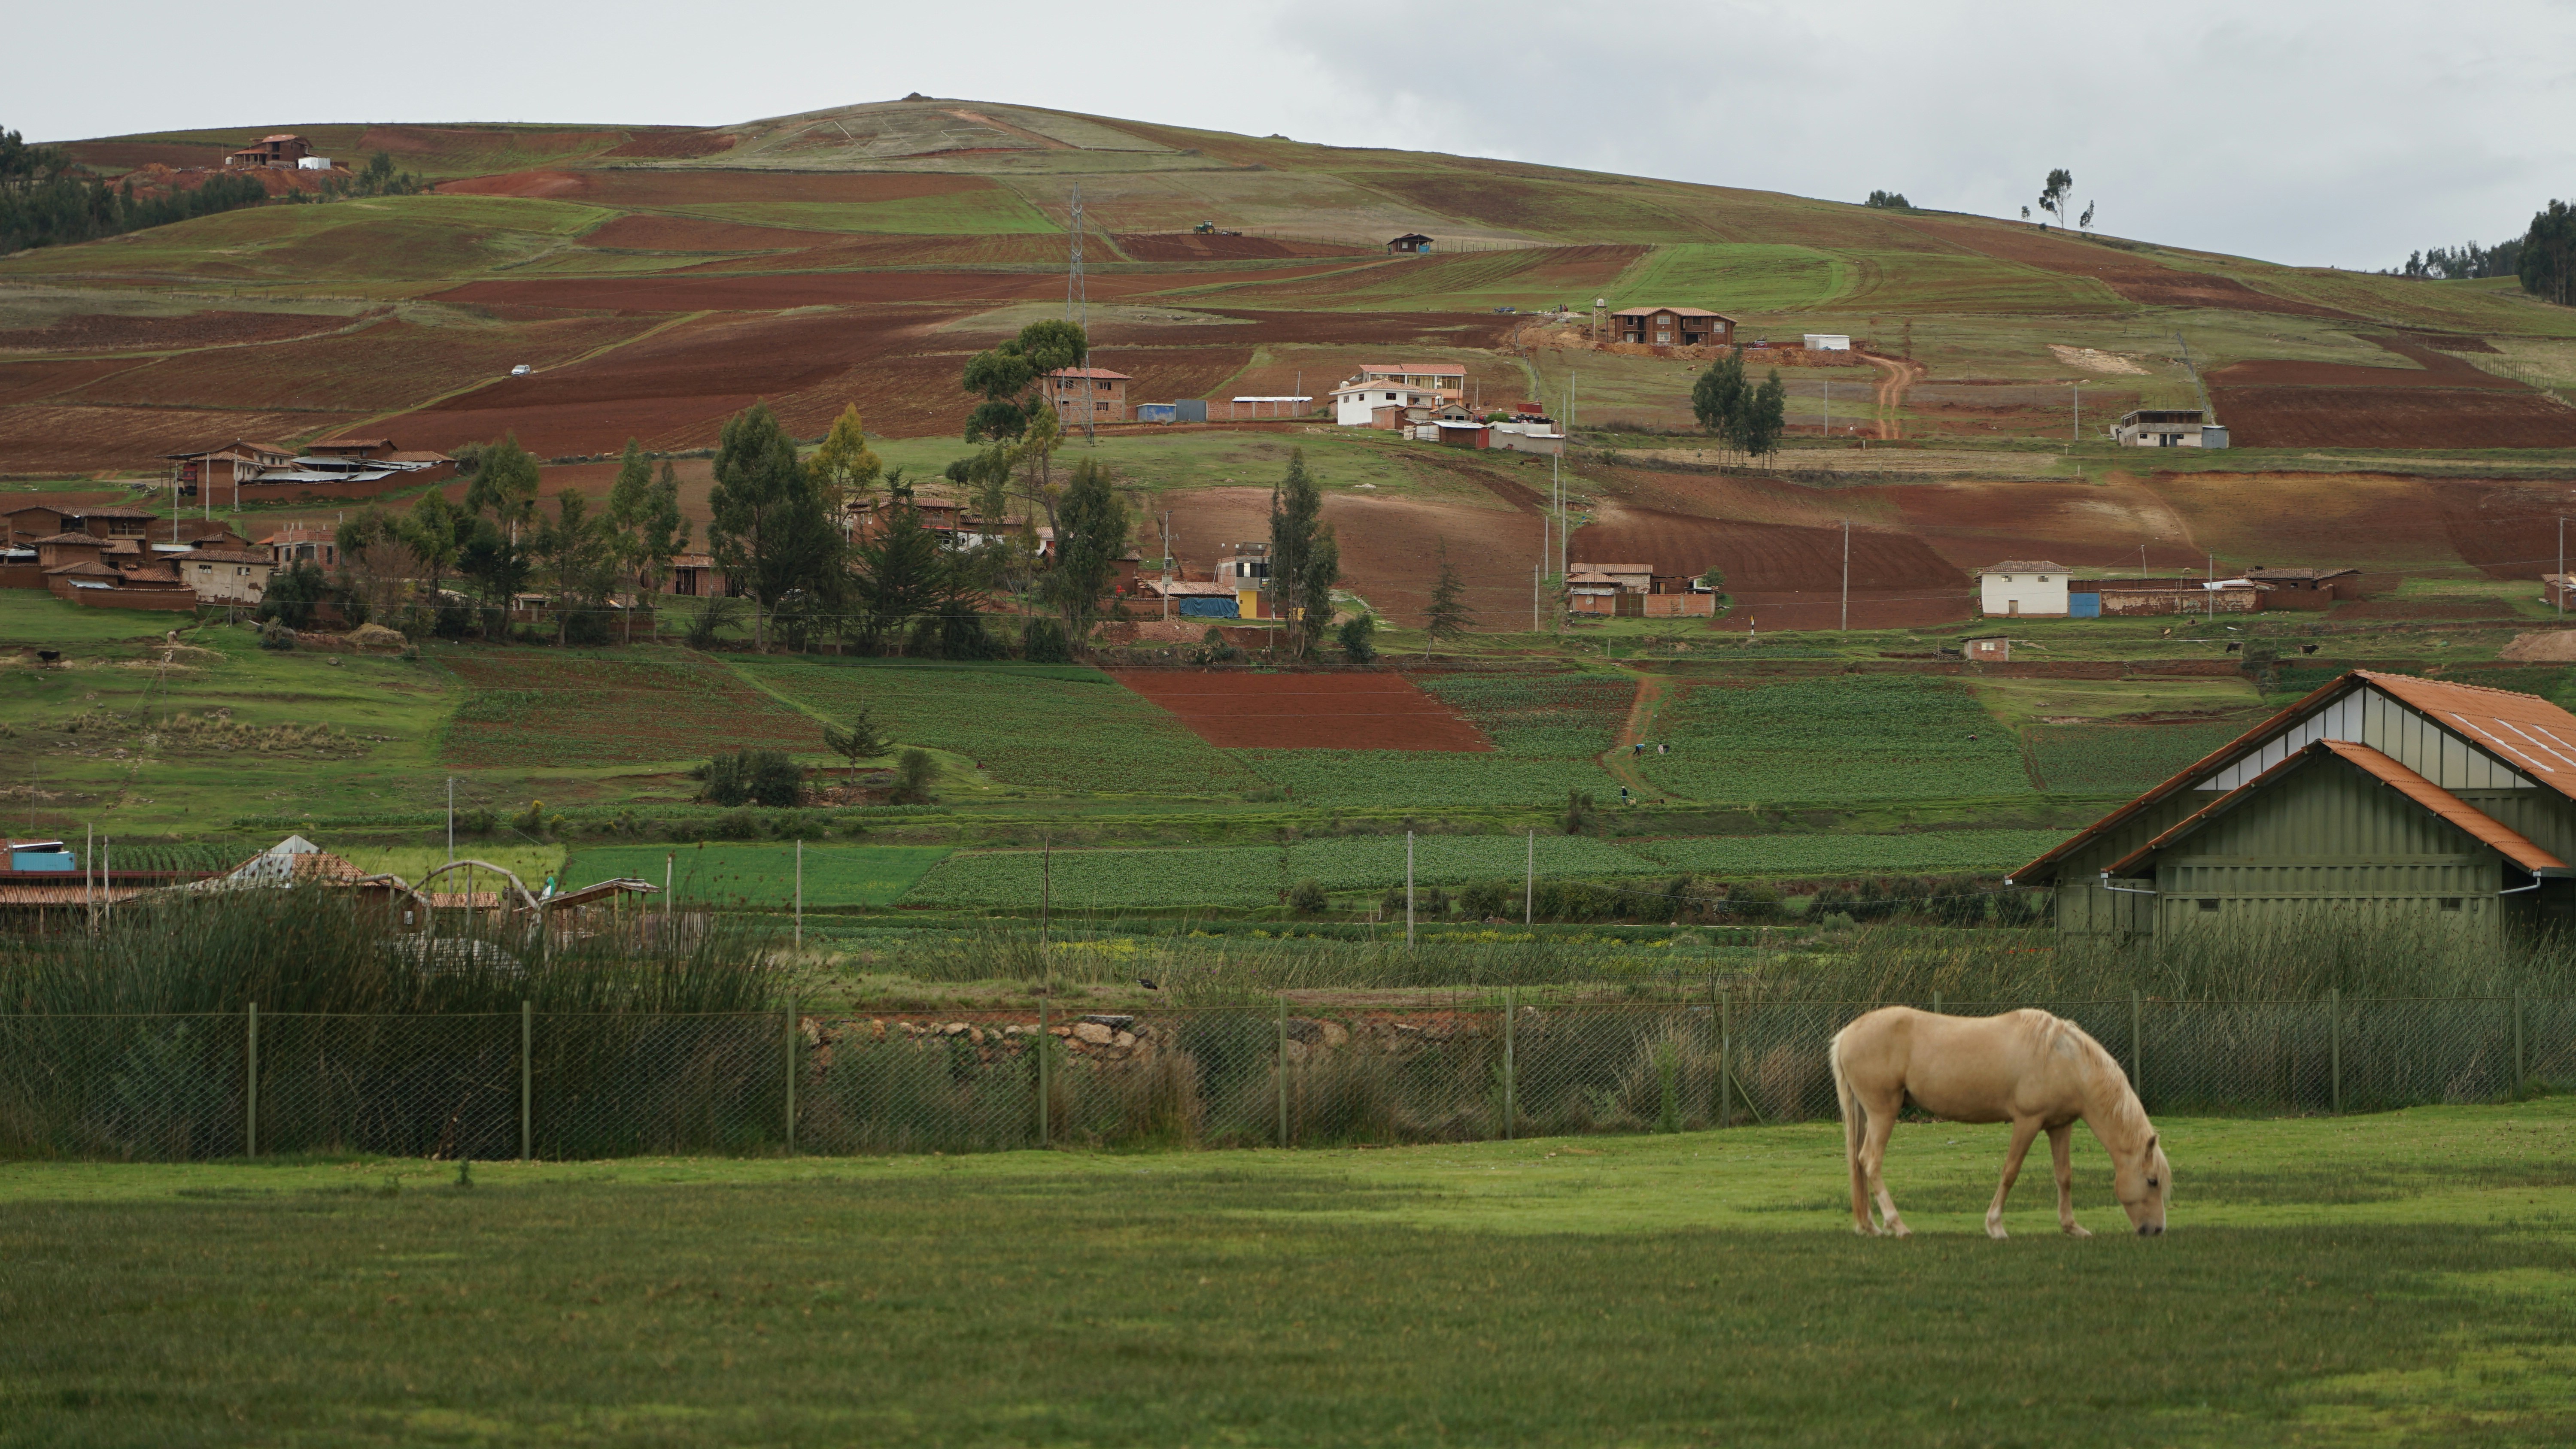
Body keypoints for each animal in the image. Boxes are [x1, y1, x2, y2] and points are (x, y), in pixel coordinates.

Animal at [1829, 1007, 2169, 1239]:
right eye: (2152, 1181)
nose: (2156, 1230)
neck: (2064, 1059)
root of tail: (1848, 1034)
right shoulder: (2027, 1122)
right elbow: (2010, 1172)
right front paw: (1995, 1226)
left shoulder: (2059, 1126)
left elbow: (2064, 1176)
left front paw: (2072, 1227)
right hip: (1883, 1114)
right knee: (1870, 1161)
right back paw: (1897, 1225)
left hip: (1867, 1115)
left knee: (1859, 1163)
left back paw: (1870, 1226)